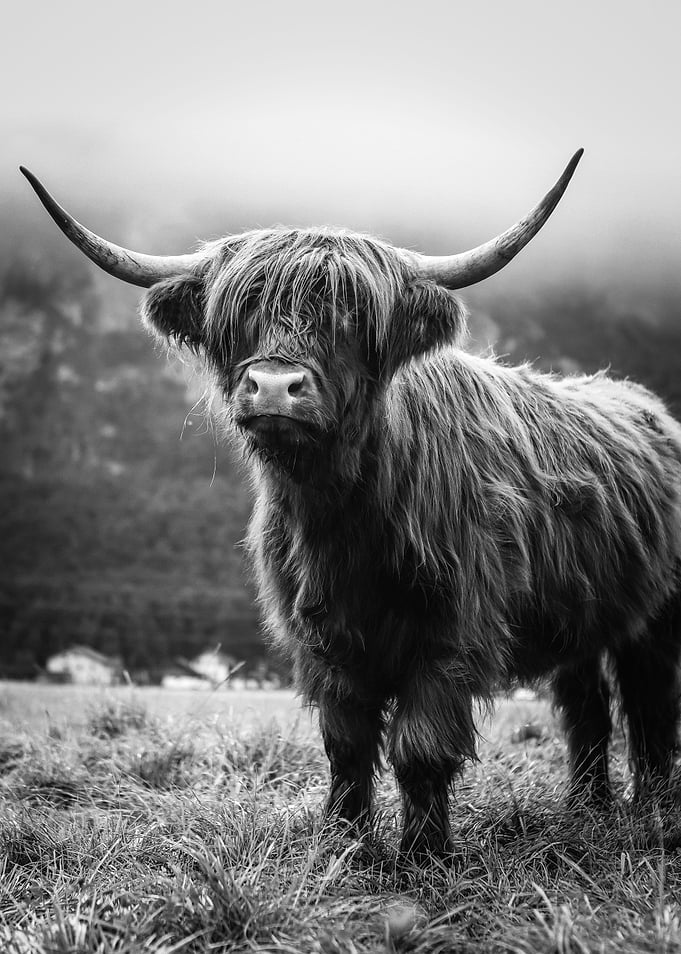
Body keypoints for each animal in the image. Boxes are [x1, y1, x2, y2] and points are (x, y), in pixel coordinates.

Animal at [22, 152, 681, 860]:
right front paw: (347, 845)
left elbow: (420, 748)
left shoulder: (450, 633)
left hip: (657, 616)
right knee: (586, 707)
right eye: (236, 320)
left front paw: (423, 859)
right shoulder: (323, 636)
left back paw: (648, 810)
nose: (274, 386)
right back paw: (587, 810)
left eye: (350, 320)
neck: (344, 522)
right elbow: (346, 743)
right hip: (580, 612)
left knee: (649, 706)